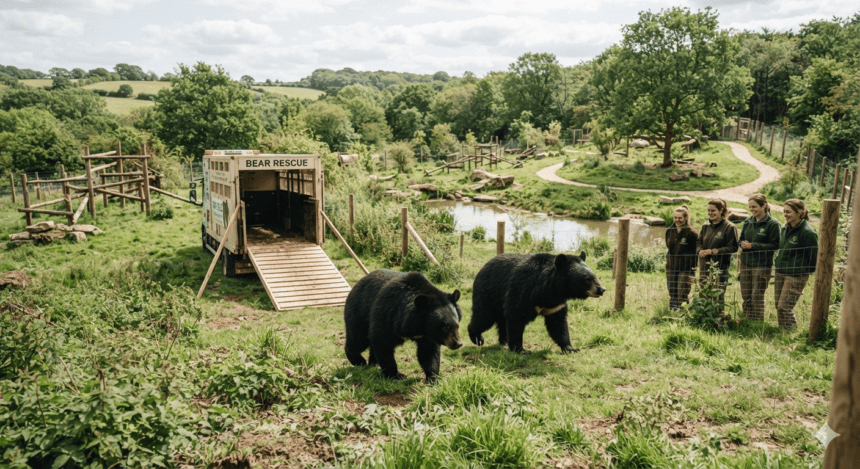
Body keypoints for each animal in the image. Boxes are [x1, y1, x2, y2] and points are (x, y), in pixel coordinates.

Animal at [467, 252, 605, 354]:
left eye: (595, 276)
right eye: (587, 279)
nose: (602, 289)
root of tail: (483, 267)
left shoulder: (556, 305)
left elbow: (558, 324)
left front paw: (570, 348)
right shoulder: (523, 290)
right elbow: (516, 316)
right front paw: (521, 350)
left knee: (500, 320)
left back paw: (504, 340)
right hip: (489, 293)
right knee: (484, 316)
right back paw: (477, 338)